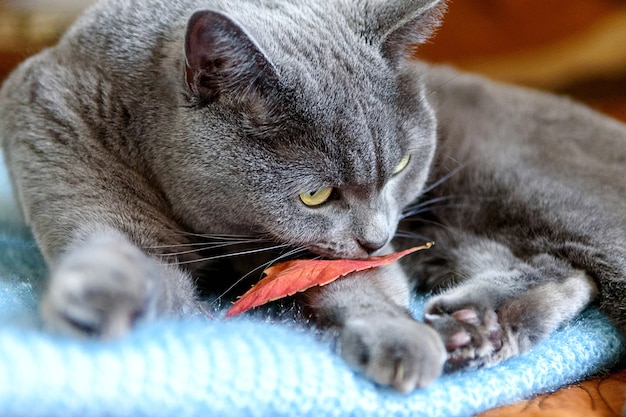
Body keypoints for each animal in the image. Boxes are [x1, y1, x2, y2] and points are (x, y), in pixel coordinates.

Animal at [0, 0, 620, 394]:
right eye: (317, 195)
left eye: (400, 166)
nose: (376, 235)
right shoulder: (58, 132)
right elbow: (126, 251)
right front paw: (98, 294)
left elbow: (359, 283)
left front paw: (399, 338)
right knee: (560, 269)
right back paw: (473, 328)